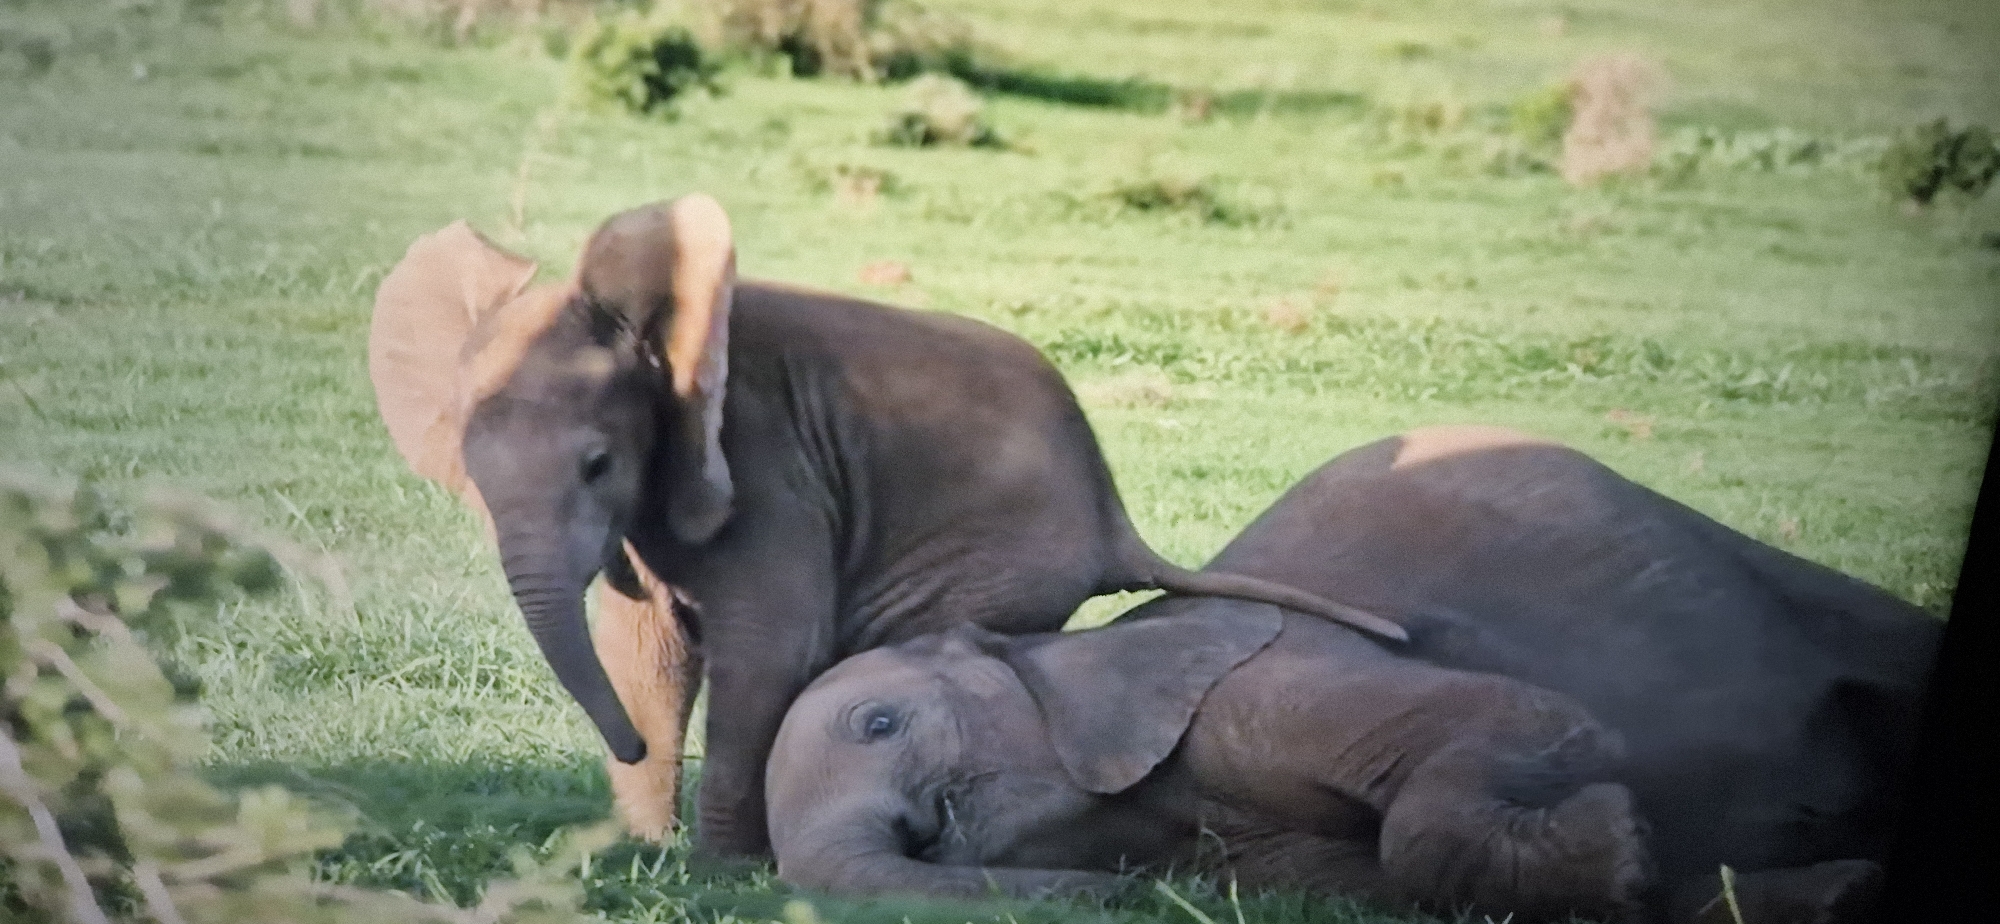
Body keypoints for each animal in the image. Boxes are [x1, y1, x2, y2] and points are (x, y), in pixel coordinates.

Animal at [365, 195, 1403, 854]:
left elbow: (768, 651)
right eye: (468, 470)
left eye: (596, 465)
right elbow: (646, 652)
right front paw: (642, 857)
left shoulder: (763, 463)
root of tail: (1116, 520)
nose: (619, 756)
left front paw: (721, 874)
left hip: (987, 561)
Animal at [761, 425, 1941, 924]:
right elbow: (1387, 879)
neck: (1068, 651)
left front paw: (1623, 844)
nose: (1116, 901)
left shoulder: (1268, 682)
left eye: (877, 725)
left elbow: (1523, 718)